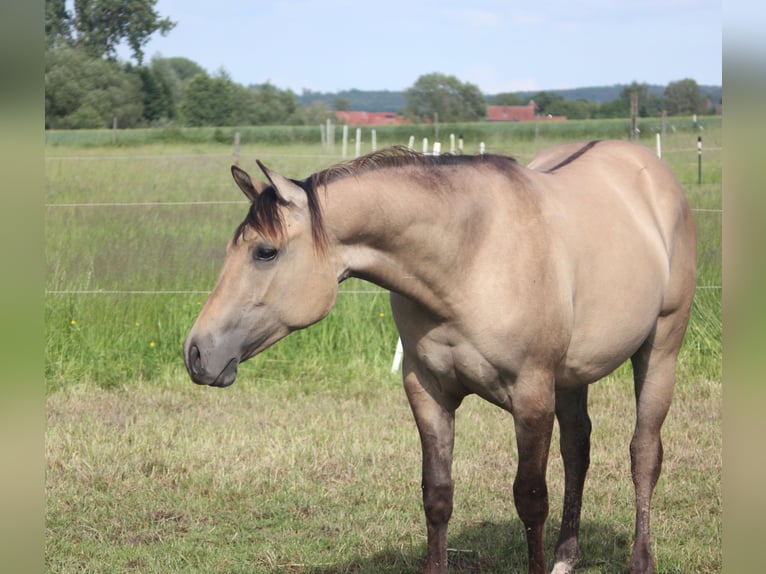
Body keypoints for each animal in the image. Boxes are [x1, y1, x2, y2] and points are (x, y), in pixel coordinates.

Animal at [183, 141, 696, 574]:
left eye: (265, 252)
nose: (196, 352)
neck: (469, 254)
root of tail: (651, 171)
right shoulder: (427, 390)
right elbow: (437, 495)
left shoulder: (532, 395)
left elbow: (530, 498)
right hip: (571, 377)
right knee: (578, 451)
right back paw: (565, 559)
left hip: (660, 350)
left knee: (643, 453)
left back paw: (641, 561)